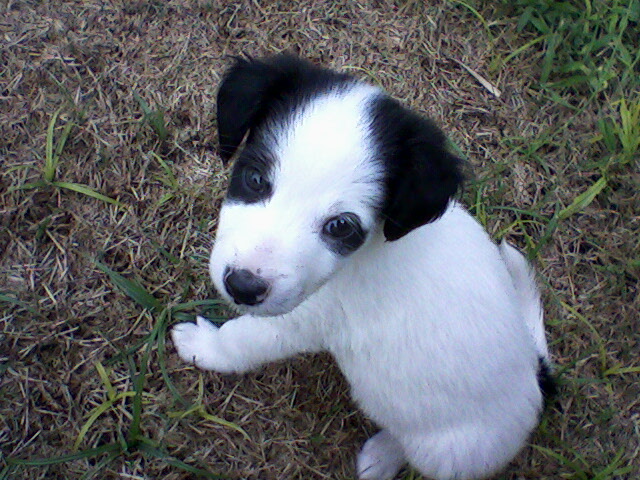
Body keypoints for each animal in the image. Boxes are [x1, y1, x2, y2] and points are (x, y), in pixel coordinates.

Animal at [172, 55, 552, 480]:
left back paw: (382, 456)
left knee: (410, 446)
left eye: (341, 226)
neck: (368, 252)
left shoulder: (297, 319)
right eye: (254, 179)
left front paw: (202, 346)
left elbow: (239, 341)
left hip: (445, 449)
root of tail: (536, 380)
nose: (242, 286)